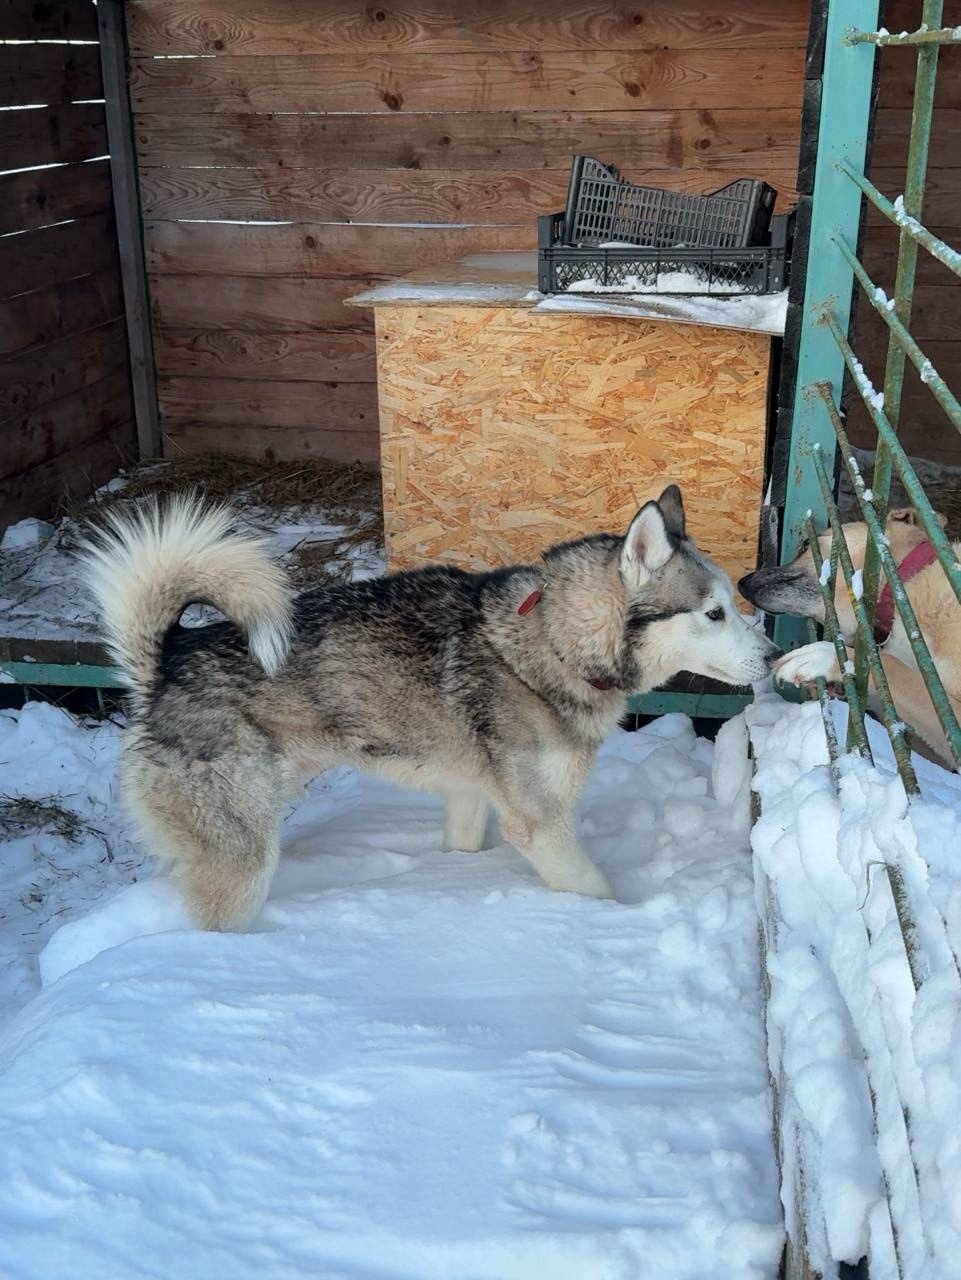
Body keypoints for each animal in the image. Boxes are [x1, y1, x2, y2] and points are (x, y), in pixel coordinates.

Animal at [79, 486, 779, 930]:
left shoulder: (469, 796)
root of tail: (168, 658)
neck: (550, 643)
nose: (775, 657)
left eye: (731, 606)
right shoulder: (541, 826)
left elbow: (463, 846)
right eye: (714, 614)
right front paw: (616, 923)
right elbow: (595, 891)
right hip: (244, 860)